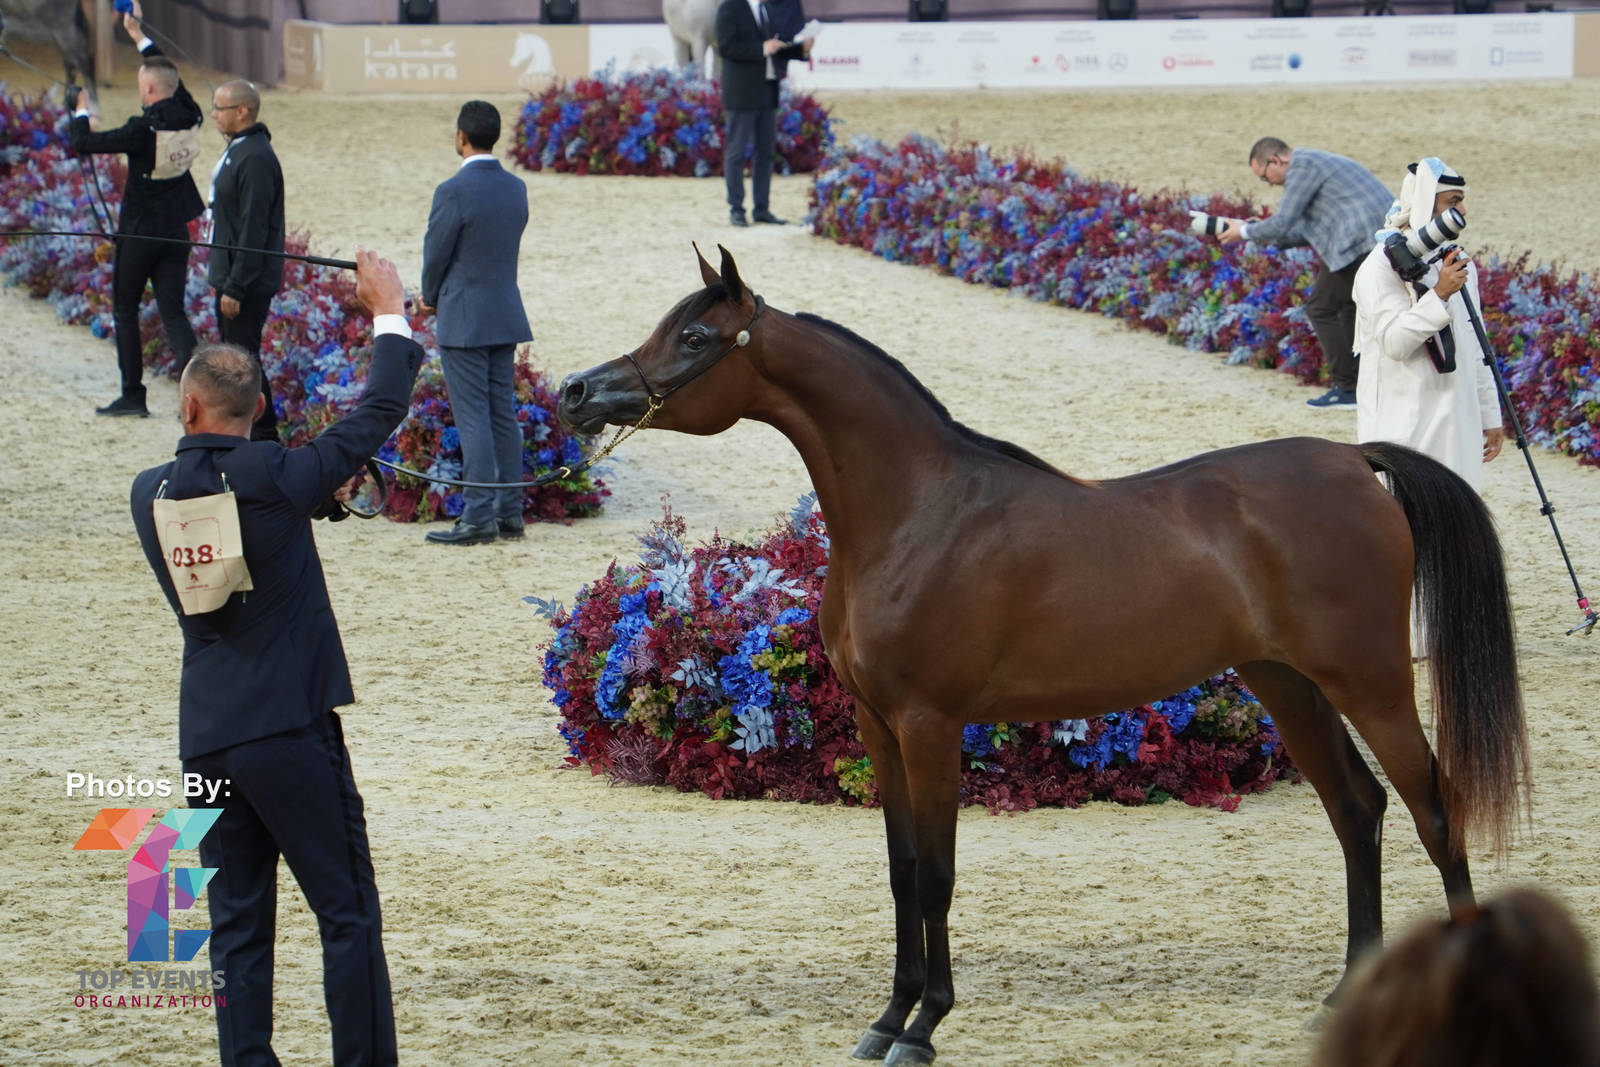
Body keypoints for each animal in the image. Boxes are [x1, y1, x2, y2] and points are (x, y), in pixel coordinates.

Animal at [556, 246, 1530, 1066]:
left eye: (693, 337)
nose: (574, 389)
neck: (917, 511)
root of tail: (1357, 465)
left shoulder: (930, 725)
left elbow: (938, 874)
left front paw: (925, 1026)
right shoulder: (877, 725)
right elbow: (900, 871)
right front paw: (886, 1017)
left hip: (1371, 683)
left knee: (1435, 810)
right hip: (1288, 686)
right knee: (1358, 811)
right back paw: (1345, 992)